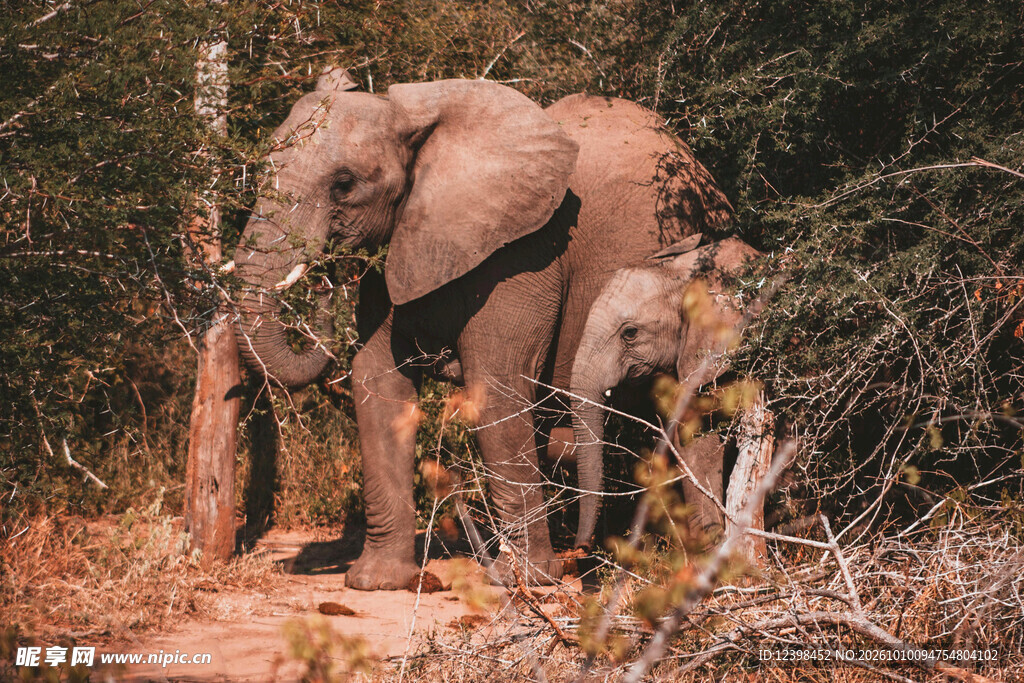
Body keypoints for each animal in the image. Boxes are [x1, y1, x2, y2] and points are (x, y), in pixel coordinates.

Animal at [232, 70, 732, 589]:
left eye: (344, 184)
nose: (324, 281)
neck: (416, 118)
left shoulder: (524, 254)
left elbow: (497, 387)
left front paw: (527, 582)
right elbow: (378, 382)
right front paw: (377, 582)